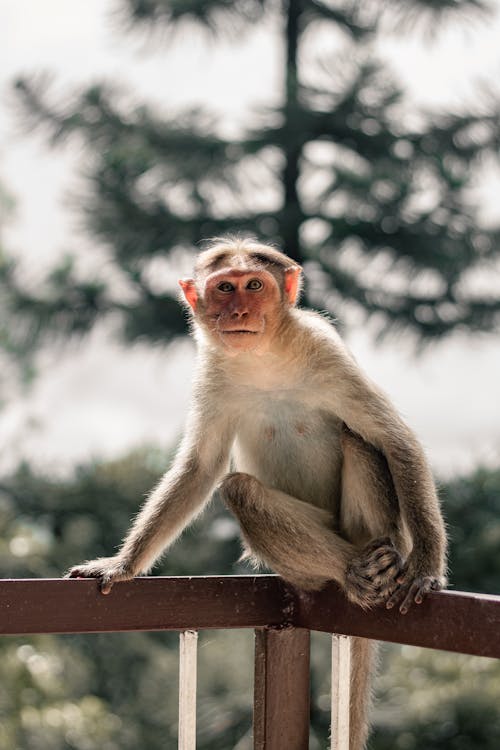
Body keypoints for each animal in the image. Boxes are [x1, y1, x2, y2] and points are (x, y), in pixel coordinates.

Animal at [66, 236, 446, 750]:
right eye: (224, 288)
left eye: (254, 285)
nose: (239, 310)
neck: (264, 358)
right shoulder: (210, 375)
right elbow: (200, 468)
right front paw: (122, 566)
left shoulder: (327, 350)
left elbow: (395, 440)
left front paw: (426, 568)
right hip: (302, 563)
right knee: (241, 490)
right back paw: (354, 573)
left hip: (374, 527)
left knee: (357, 440)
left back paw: (380, 563)